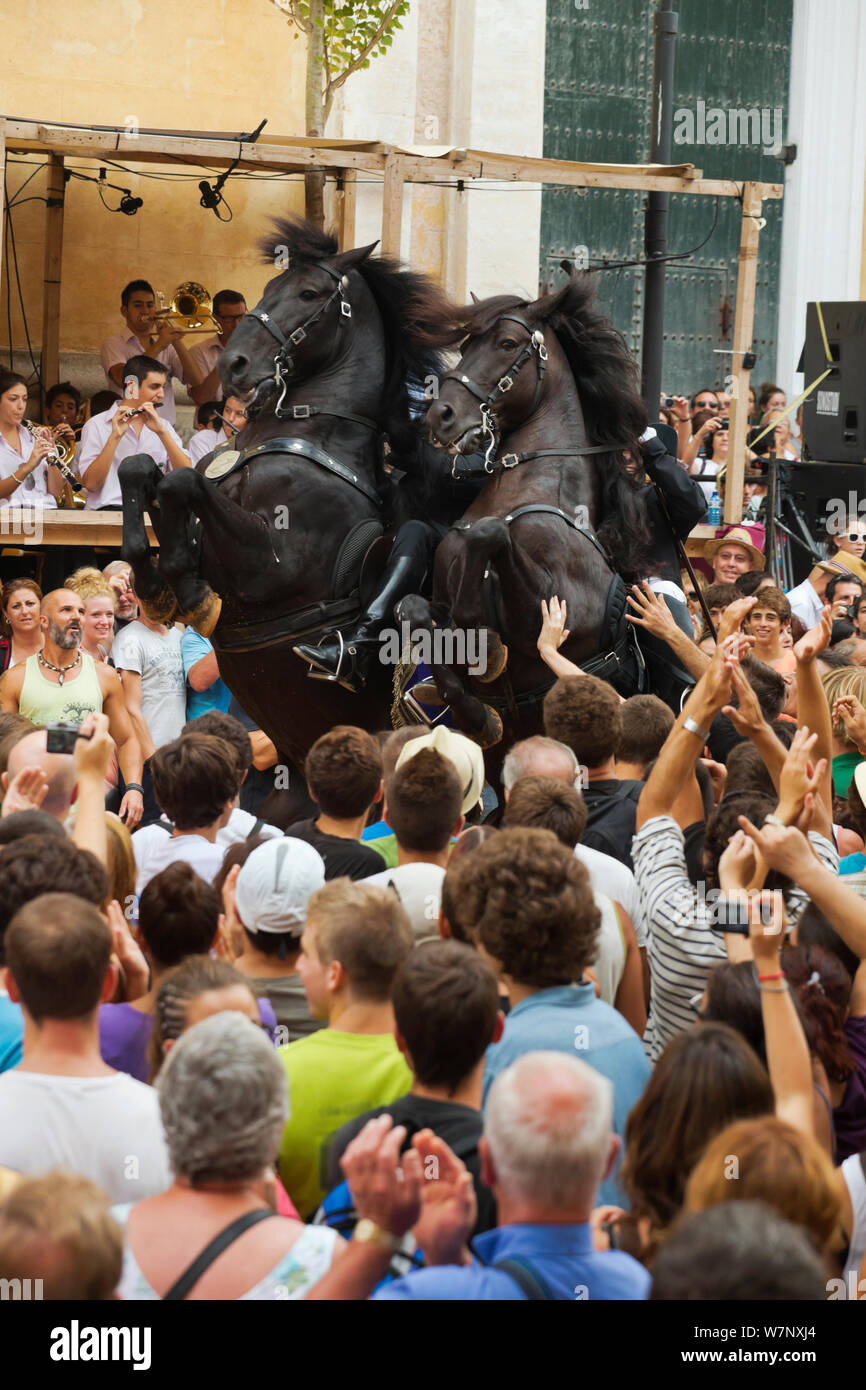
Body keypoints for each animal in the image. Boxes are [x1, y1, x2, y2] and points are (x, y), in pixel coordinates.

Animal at [123, 218, 464, 783]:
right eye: (268, 289)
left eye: (308, 294)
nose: (233, 365)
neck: (311, 434)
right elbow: (142, 471)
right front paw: (157, 589)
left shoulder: (269, 566)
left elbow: (182, 483)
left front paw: (191, 596)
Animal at [405, 271, 650, 772]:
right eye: (466, 345)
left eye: (507, 342)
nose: (439, 416)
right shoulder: (439, 596)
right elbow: (417, 610)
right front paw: (474, 709)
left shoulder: (564, 608)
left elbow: (491, 534)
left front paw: (486, 646)